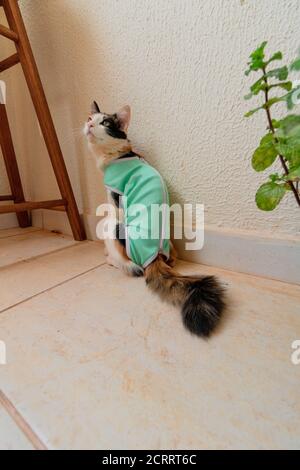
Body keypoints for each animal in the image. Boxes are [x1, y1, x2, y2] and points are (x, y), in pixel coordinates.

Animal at [84, 102, 225, 338]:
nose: (89, 124)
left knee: (132, 267)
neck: (119, 155)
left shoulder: (115, 203)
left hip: (113, 227)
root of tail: (154, 257)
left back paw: (110, 259)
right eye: (89, 118)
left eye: (105, 122)